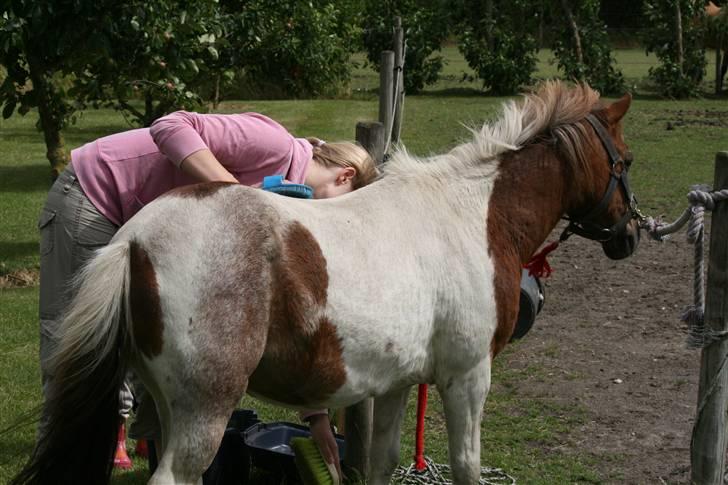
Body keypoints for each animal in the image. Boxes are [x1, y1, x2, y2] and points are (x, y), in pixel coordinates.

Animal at [9, 81, 636, 482]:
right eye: (625, 161)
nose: (629, 234)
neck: (470, 214)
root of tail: (133, 240)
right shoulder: (467, 377)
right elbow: (467, 468)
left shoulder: (398, 383)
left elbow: (381, 463)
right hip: (204, 412)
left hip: (167, 403)